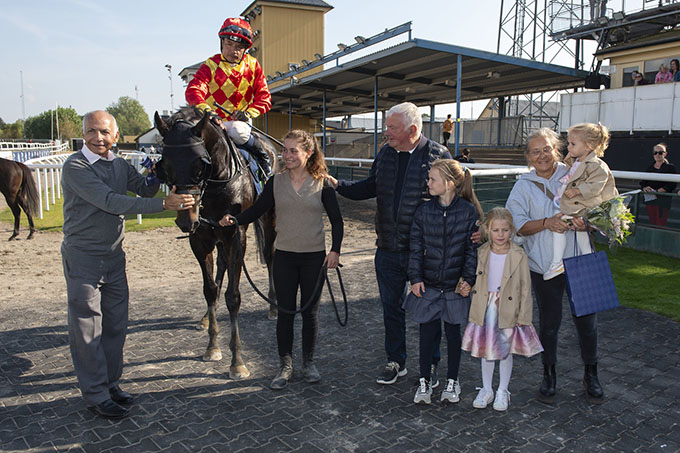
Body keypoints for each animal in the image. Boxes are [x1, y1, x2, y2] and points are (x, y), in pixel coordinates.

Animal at [155, 107, 278, 378]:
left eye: (200, 165)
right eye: (164, 165)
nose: (185, 219)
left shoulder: (235, 235)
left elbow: (234, 296)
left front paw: (237, 361)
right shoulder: (200, 238)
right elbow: (209, 289)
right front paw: (212, 345)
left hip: (268, 219)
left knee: (270, 255)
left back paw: (274, 306)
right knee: (220, 265)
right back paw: (205, 317)